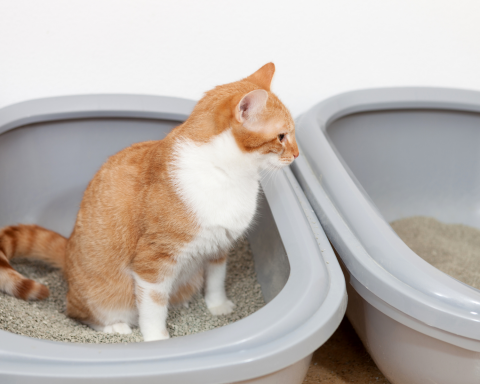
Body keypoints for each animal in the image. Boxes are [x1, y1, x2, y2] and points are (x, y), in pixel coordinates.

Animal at [0, 63, 298, 342]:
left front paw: (218, 306)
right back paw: (115, 327)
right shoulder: (153, 263)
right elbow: (153, 307)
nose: (296, 154)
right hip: (102, 298)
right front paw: (157, 338)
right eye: (282, 136)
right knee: (78, 313)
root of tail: (68, 249)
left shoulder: (218, 247)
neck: (227, 175)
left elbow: (216, 281)